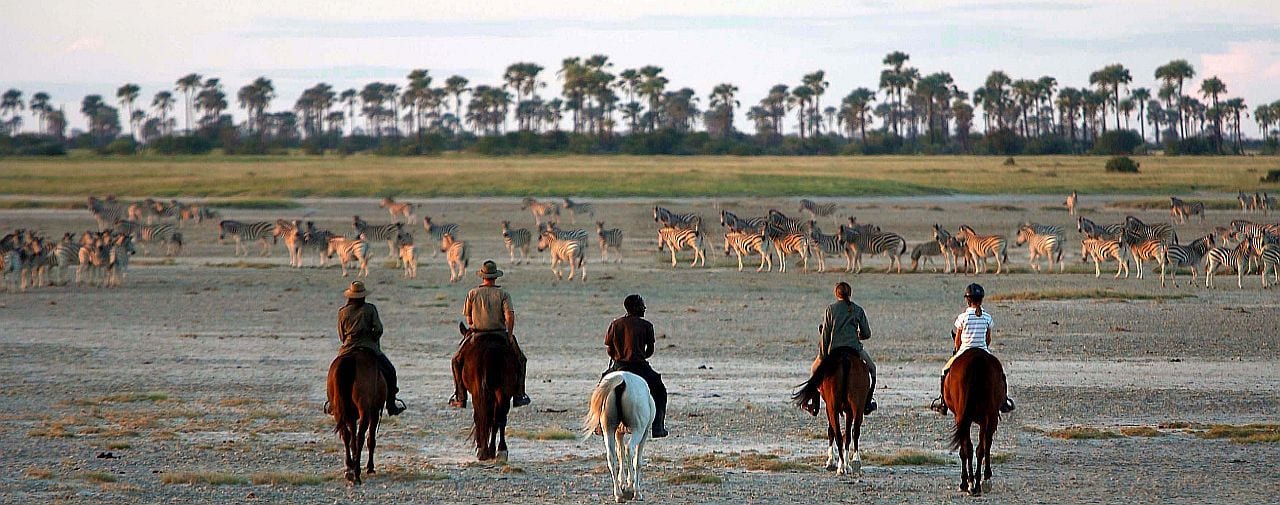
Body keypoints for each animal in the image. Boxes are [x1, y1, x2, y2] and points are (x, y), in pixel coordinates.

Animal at [325, 347, 384, 485]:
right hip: (365, 411)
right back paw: (357, 474)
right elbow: (370, 439)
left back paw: (349, 469)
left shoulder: (351, 416)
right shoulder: (374, 412)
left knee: (346, 435)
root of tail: (350, 359)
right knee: (360, 437)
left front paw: (351, 465)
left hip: (338, 411)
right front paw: (370, 467)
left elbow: (351, 438)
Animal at [460, 324, 519, 462]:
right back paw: (498, 450)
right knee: (499, 418)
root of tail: (491, 350)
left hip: (481, 392)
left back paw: (485, 450)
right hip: (503, 391)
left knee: (482, 416)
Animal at [583, 370, 655, 501]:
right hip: (638, 430)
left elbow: (620, 454)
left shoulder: (618, 433)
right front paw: (632, 486)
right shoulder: (645, 433)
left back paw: (618, 494)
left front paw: (623, 483)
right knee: (630, 449)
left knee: (611, 457)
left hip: (609, 430)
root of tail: (622, 380)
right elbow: (637, 461)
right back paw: (634, 490)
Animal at [942, 350, 1008, 496]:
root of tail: (976, 360)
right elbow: (982, 447)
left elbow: (964, 450)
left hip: (968, 418)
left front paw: (964, 483)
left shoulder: (960, 418)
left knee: (970, 448)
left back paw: (971, 483)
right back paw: (979, 483)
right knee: (981, 448)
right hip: (989, 417)